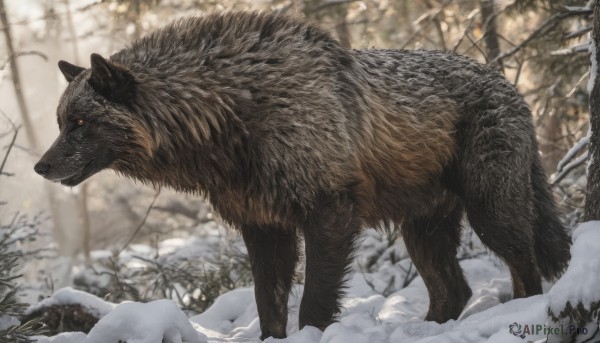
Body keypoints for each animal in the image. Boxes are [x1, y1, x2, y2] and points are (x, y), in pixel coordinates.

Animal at [34, 11, 572, 342]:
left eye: (79, 123)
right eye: (61, 123)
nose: (40, 167)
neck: (232, 117)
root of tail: (511, 87)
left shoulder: (329, 214)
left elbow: (313, 301)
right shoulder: (263, 227)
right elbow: (268, 305)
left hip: (489, 210)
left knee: (527, 267)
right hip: (422, 228)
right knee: (453, 290)